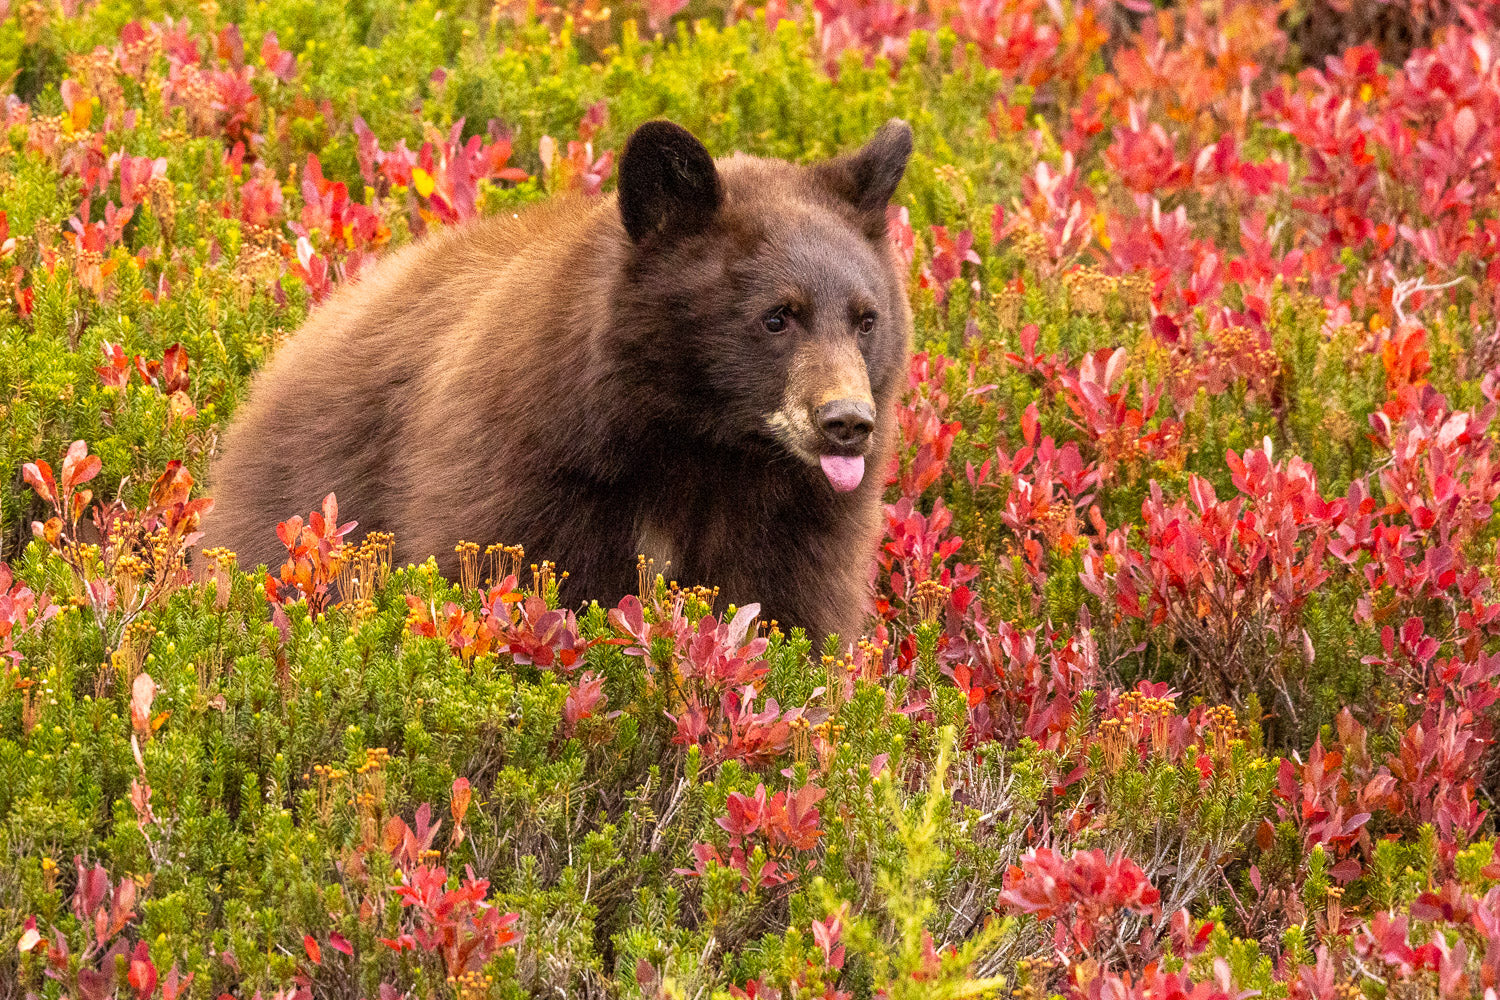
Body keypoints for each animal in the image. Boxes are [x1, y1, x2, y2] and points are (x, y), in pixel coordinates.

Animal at [199, 117, 914, 642]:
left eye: (866, 319)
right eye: (777, 316)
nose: (848, 422)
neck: (699, 449)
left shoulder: (799, 521)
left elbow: (789, 619)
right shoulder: (529, 470)